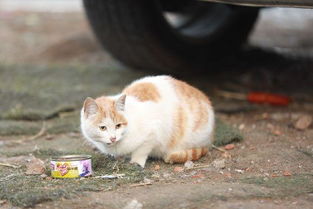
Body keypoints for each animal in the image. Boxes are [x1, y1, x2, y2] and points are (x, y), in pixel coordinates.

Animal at [80, 76, 214, 167]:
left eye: (118, 125)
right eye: (102, 128)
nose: (113, 138)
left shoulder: (153, 132)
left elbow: (141, 150)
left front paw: (136, 162)